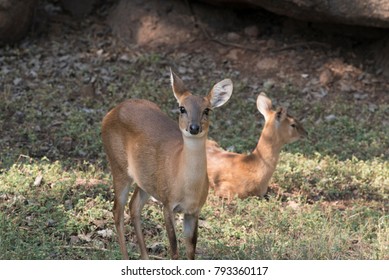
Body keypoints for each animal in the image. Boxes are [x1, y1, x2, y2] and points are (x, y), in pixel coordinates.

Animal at [101, 70, 232, 260]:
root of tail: (110, 113)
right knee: (117, 211)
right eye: (182, 108)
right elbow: (174, 250)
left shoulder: (193, 211)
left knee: (134, 206)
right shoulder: (168, 203)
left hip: (146, 180)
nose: (194, 127)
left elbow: (191, 251)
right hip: (118, 166)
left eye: (207, 110)